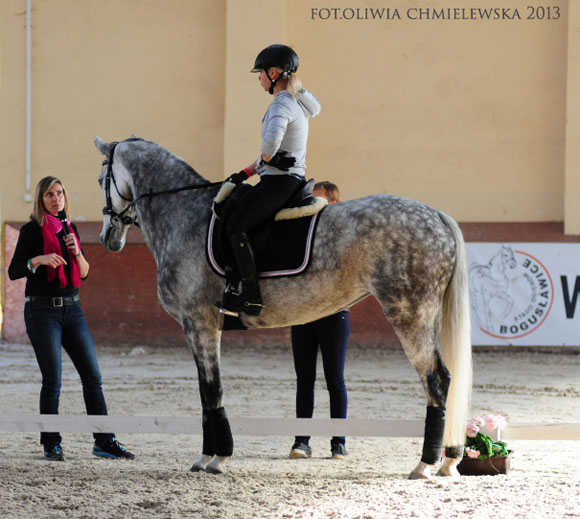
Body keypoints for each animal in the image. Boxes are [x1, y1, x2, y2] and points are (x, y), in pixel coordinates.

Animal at [95, 135, 472, 480]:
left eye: (101, 180)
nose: (107, 239)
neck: (182, 213)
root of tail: (436, 215)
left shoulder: (198, 324)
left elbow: (211, 392)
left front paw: (217, 458)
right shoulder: (203, 327)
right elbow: (205, 393)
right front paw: (205, 458)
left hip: (410, 315)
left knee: (436, 380)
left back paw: (425, 465)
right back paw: (449, 460)